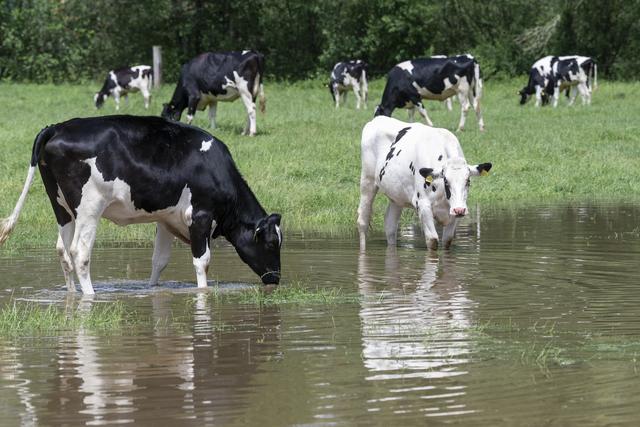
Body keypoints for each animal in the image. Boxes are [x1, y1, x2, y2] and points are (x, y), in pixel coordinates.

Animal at [0, 115, 282, 296]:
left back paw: (71, 294)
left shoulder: (167, 219)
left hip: (61, 207)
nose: (276, 279)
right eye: (270, 243)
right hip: (89, 207)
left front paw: (152, 289)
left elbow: (159, 261)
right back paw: (90, 295)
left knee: (62, 251)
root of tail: (57, 127)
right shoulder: (200, 216)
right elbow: (202, 262)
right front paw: (203, 292)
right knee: (79, 253)